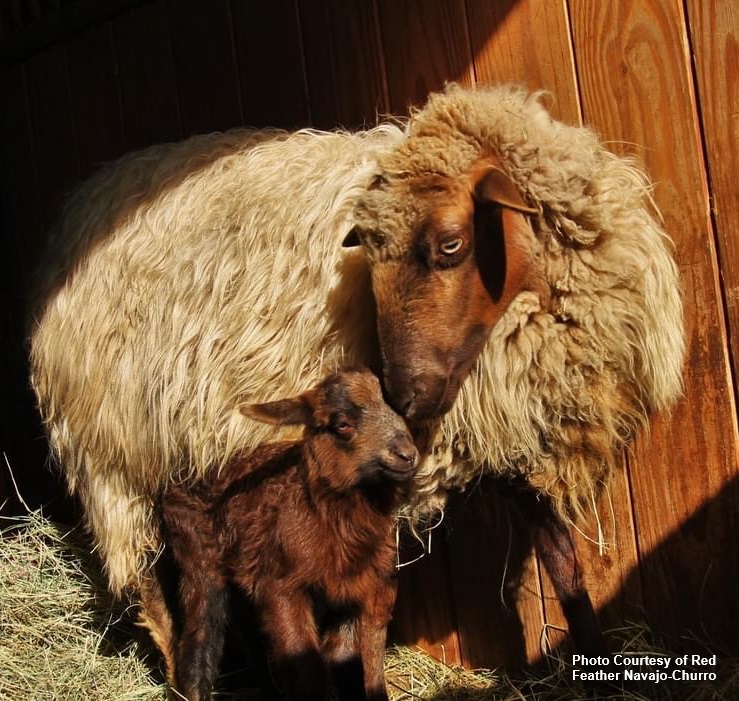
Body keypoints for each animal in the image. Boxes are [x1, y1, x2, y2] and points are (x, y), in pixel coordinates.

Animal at [30, 80, 688, 660]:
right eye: (367, 254)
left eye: (451, 244)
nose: (402, 394)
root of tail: (85, 202)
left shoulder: (515, 433)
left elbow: (565, 565)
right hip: (109, 450)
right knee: (142, 578)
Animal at [160, 366, 416, 700]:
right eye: (342, 424)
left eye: (399, 410)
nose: (407, 455)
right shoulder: (282, 589)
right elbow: (307, 669)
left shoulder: (368, 590)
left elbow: (356, 660)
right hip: (198, 557)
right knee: (200, 641)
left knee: (249, 638)